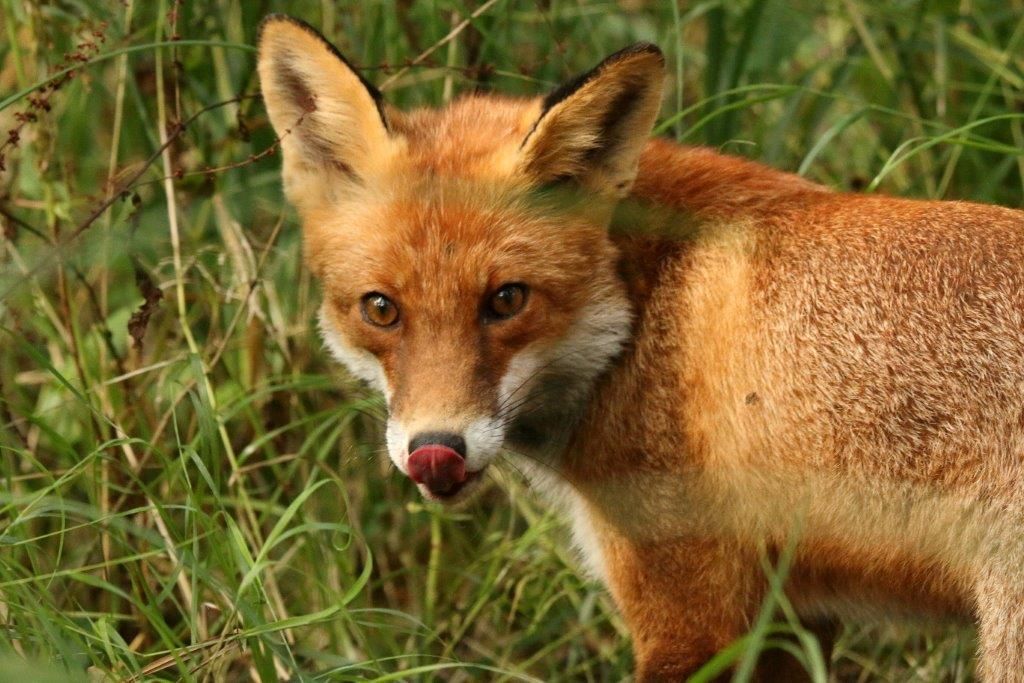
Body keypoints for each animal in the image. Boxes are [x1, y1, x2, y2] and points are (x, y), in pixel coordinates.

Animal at [257, 14, 1024, 681]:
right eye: (381, 310)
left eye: (506, 300)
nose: (435, 450)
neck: (641, 310)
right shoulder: (787, 622)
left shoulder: (695, 613)